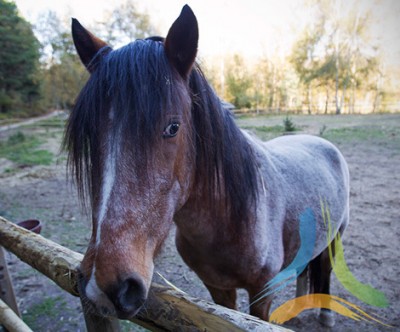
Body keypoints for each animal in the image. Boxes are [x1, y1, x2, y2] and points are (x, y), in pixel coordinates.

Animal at [65, 4, 350, 326]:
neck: (230, 218)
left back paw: (325, 315)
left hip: (335, 236)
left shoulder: (263, 291)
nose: (102, 284)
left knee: (325, 268)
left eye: (173, 127)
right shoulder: (217, 289)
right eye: (90, 135)